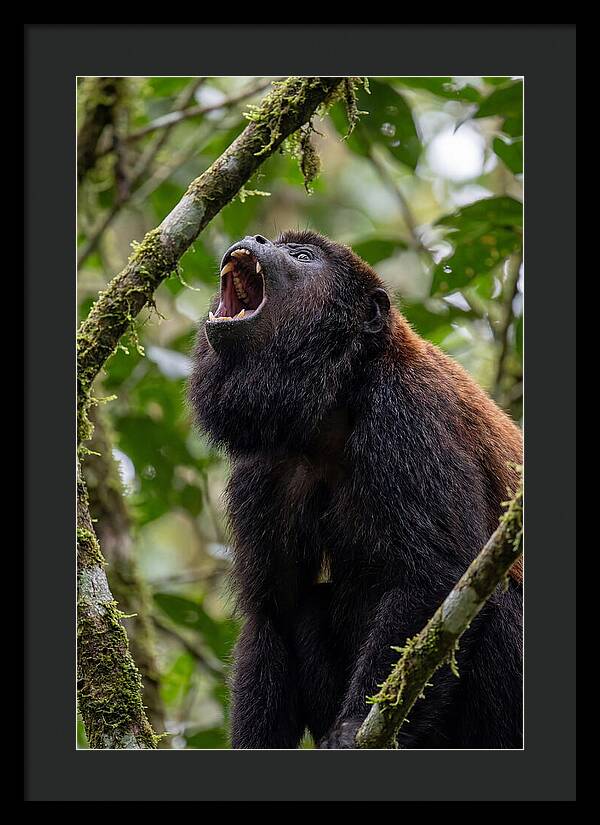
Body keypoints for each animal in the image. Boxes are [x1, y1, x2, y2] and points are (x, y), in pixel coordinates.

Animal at [188, 230, 523, 749]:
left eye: (303, 257)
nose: (256, 237)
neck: (338, 399)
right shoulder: (265, 466)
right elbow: (273, 611)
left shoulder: (406, 414)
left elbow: (437, 576)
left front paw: (349, 730)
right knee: (307, 607)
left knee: (499, 597)